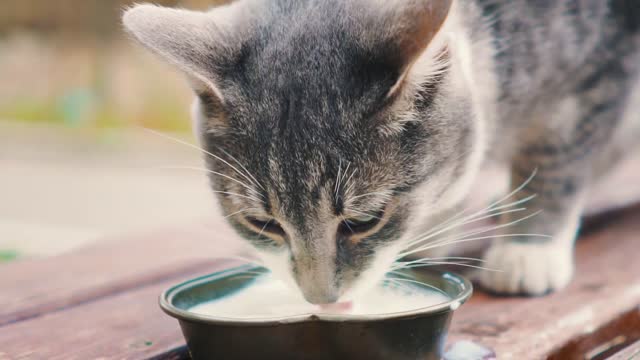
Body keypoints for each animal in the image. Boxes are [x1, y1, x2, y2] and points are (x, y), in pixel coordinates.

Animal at [124, 0, 640, 304]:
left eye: (363, 221)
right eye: (263, 224)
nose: (322, 301)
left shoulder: (597, 72)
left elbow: (558, 159)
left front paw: (528, 248)